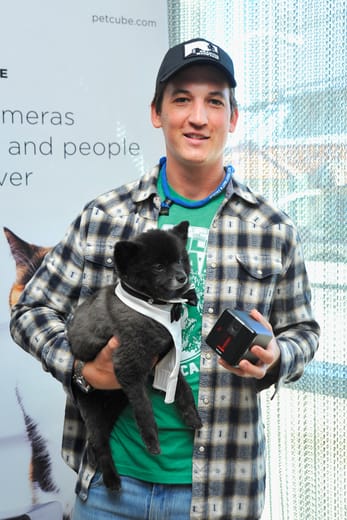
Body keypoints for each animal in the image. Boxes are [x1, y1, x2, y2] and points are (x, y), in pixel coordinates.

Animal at [66, 221, 203, 490]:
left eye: (180, 260)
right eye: (158, 266)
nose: (182, 277)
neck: (151, 305)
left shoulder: (163, 359)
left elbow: (182, 389)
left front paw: (191, 415)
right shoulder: (129, 367)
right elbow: (144, 409)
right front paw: (151, 441)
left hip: (112, 406)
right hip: (93, 412)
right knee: (99, 444)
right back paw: (111, 480)